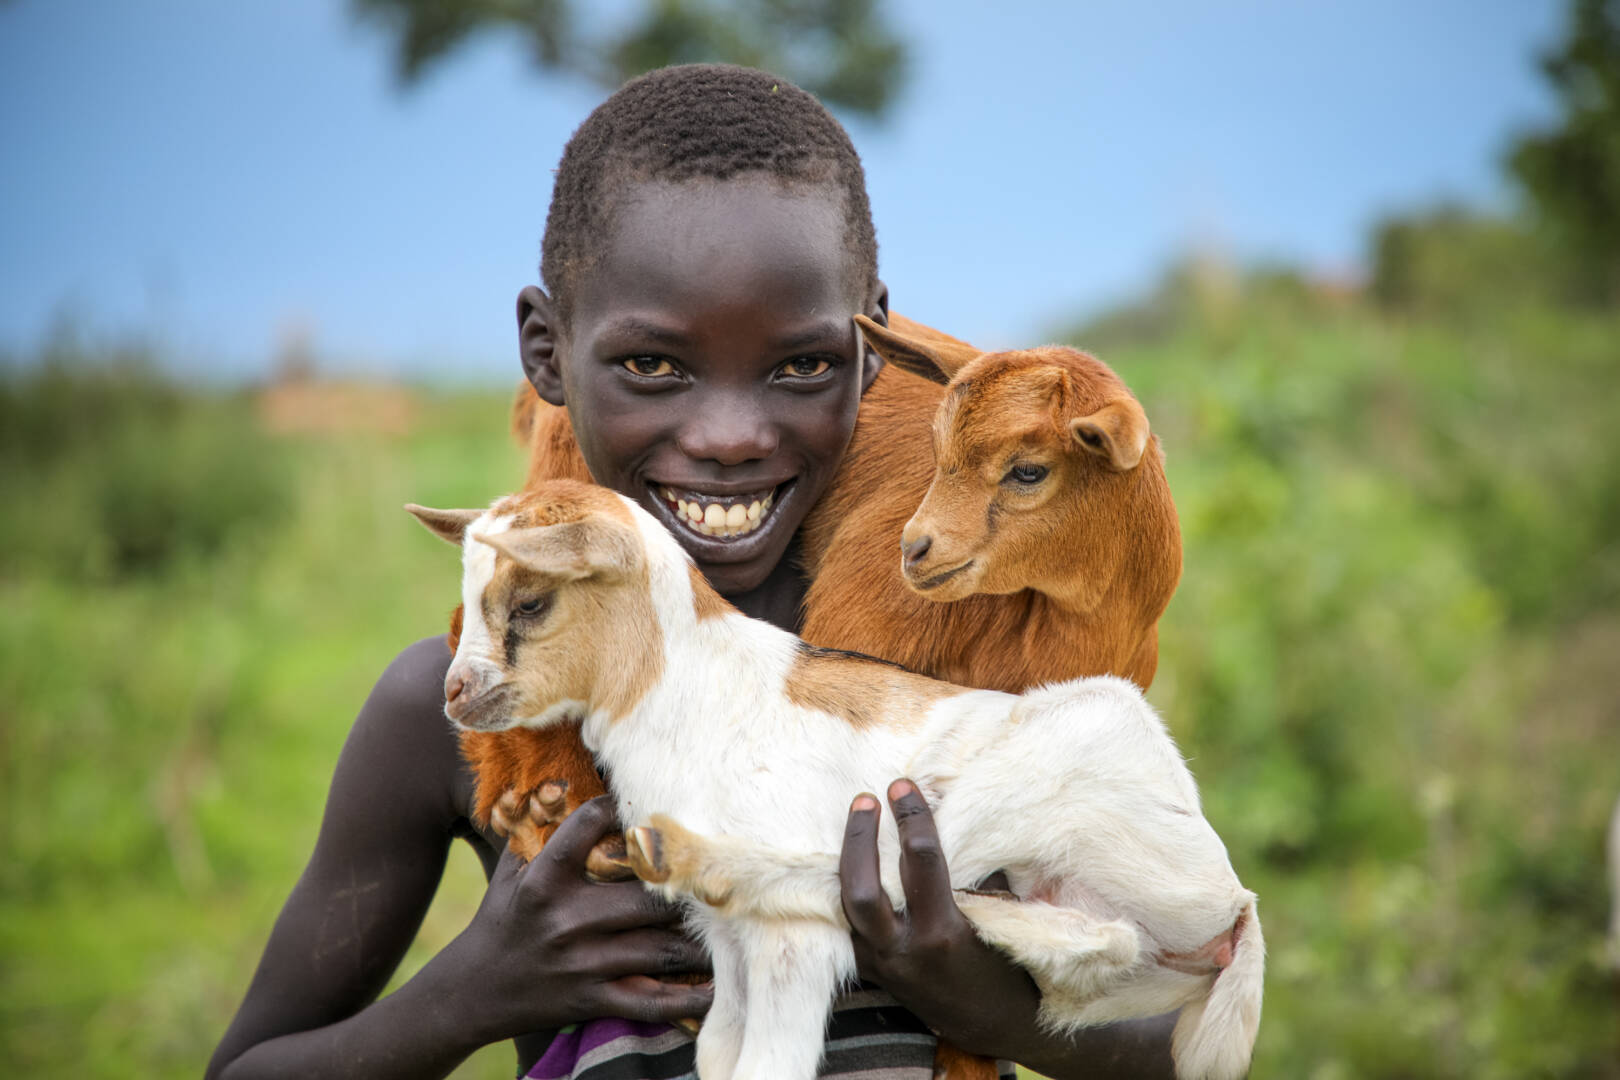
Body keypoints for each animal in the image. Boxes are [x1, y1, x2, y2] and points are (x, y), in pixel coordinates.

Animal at [407, 479, 1262, 1080]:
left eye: (530, 601)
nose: (454, 694)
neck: (689, 692)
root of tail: (1232, 899)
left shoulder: (792, 949)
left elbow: (771, 1062)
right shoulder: (729, 949)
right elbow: (720, 1058)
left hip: (1062, 748)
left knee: (878, 873)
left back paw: (686, 855)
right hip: (1104, 938)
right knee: (1100, 941)